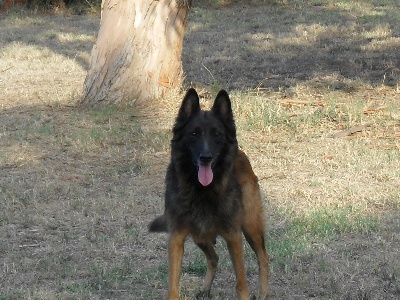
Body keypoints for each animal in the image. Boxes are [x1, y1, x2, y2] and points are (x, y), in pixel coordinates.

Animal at [148, 89, 268, 300]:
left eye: (217, 134)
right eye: (194, 134)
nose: (206, 157)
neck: (201, 191)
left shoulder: (234, 236)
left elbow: (241, 283)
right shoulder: (177, 237)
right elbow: (173, 283)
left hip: (250, 225)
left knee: (263, 257)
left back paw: (263, 293)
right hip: (200, 236)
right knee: (214, 257)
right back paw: (205, 289)